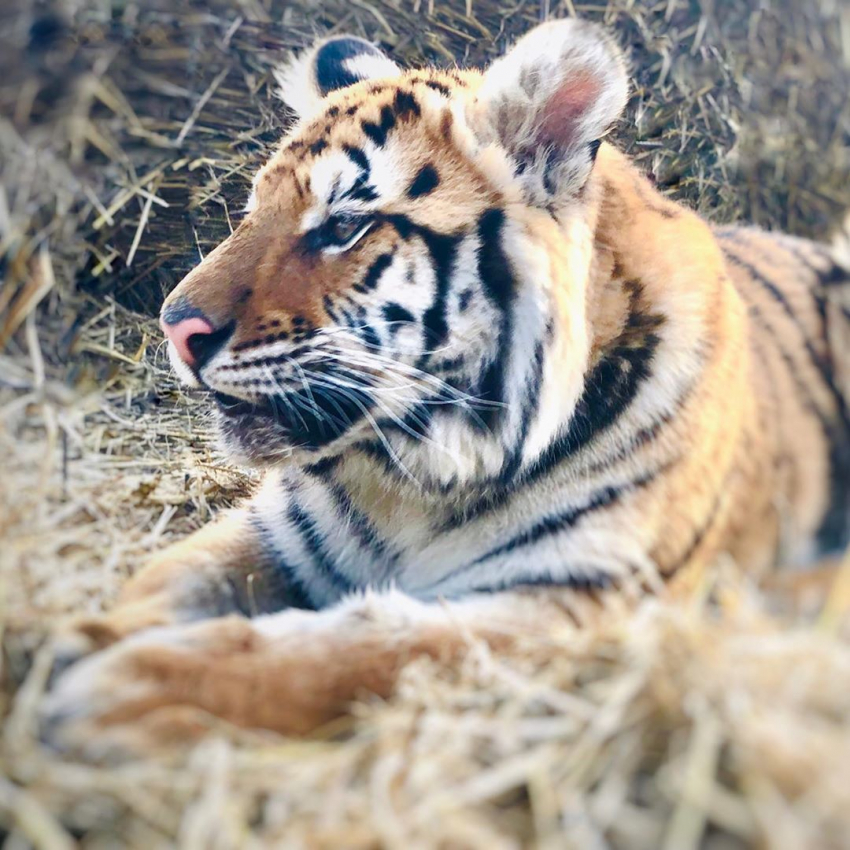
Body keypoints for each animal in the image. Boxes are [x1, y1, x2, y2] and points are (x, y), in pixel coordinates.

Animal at [41, 18, 848, 748]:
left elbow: (353, 652)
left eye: (344, 225)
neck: (414, 474)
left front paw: (122, 688)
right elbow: (165, 576)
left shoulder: (570, 603)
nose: (174, 327)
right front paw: (83, 638)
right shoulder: (273, 532)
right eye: (250, 212)